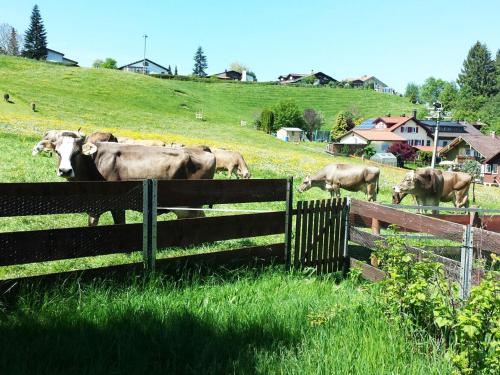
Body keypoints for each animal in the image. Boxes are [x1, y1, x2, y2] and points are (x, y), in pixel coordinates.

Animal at [43, 133, 215, 226]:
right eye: (57, 152)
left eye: (77, 152)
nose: (65, 170)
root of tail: (206, 150)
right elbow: (92, 222)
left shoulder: (117, 202)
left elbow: (119, 223)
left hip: (193, 203)